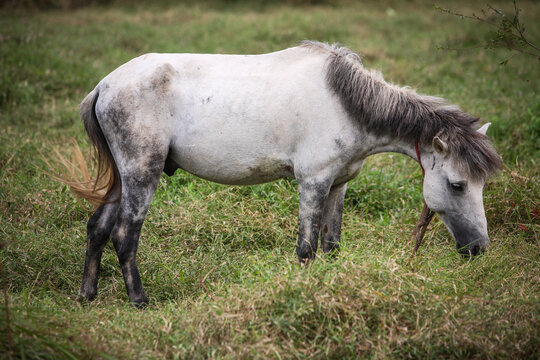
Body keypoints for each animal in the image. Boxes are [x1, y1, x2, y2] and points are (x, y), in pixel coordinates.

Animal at [67, 42, 502, 306]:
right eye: (457, 185)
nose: (479, 249)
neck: (345, 103)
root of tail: (105, 85)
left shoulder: (338, 186)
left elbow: (331, 246)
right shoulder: (313, 183)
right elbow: (306, 250)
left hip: (123, 179)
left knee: (98, 228)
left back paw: (87, 295)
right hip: (143, 174)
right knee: (125, 234)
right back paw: (139, 301)